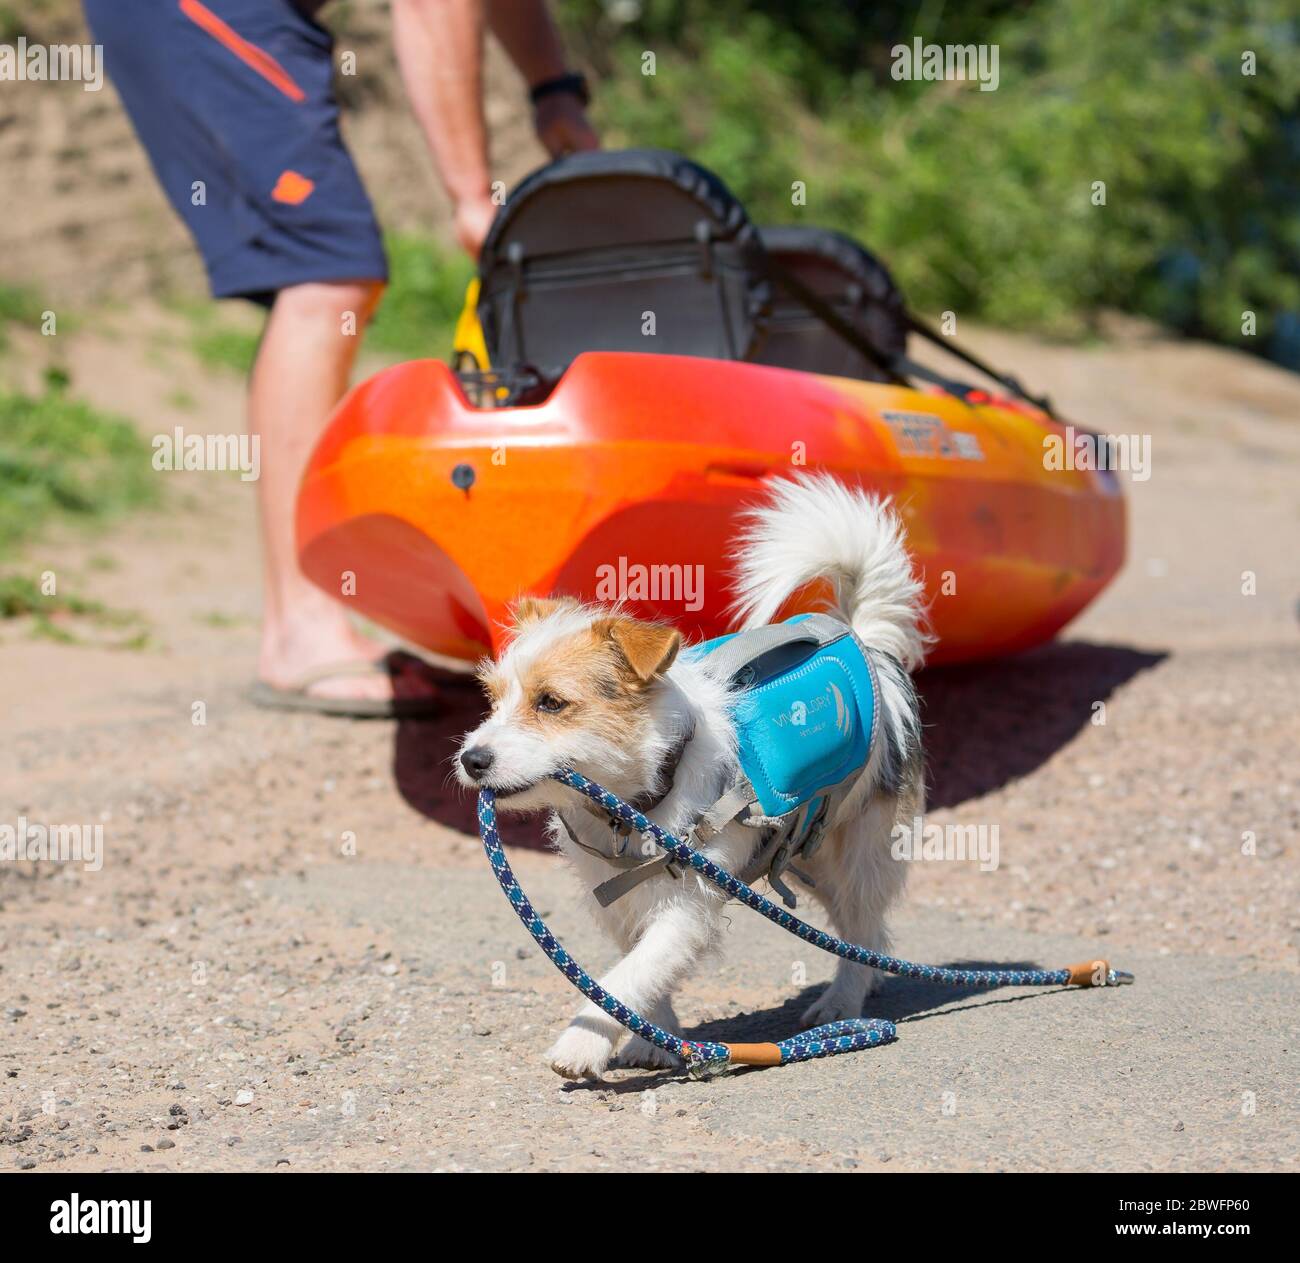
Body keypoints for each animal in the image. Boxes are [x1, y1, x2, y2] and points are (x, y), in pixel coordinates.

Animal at [452, 472, 930, 1075]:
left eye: (551, 703)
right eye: (492, 699)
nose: (472, 759)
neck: (642, 797)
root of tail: (867, 645)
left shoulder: (687, 907)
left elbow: (630, 974)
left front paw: (582, 1043)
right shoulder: (620, 900)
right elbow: (639, 969)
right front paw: (652, 1041)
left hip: (858, 851)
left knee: (863, 924)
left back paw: (843, 1002)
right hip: (805, 859)